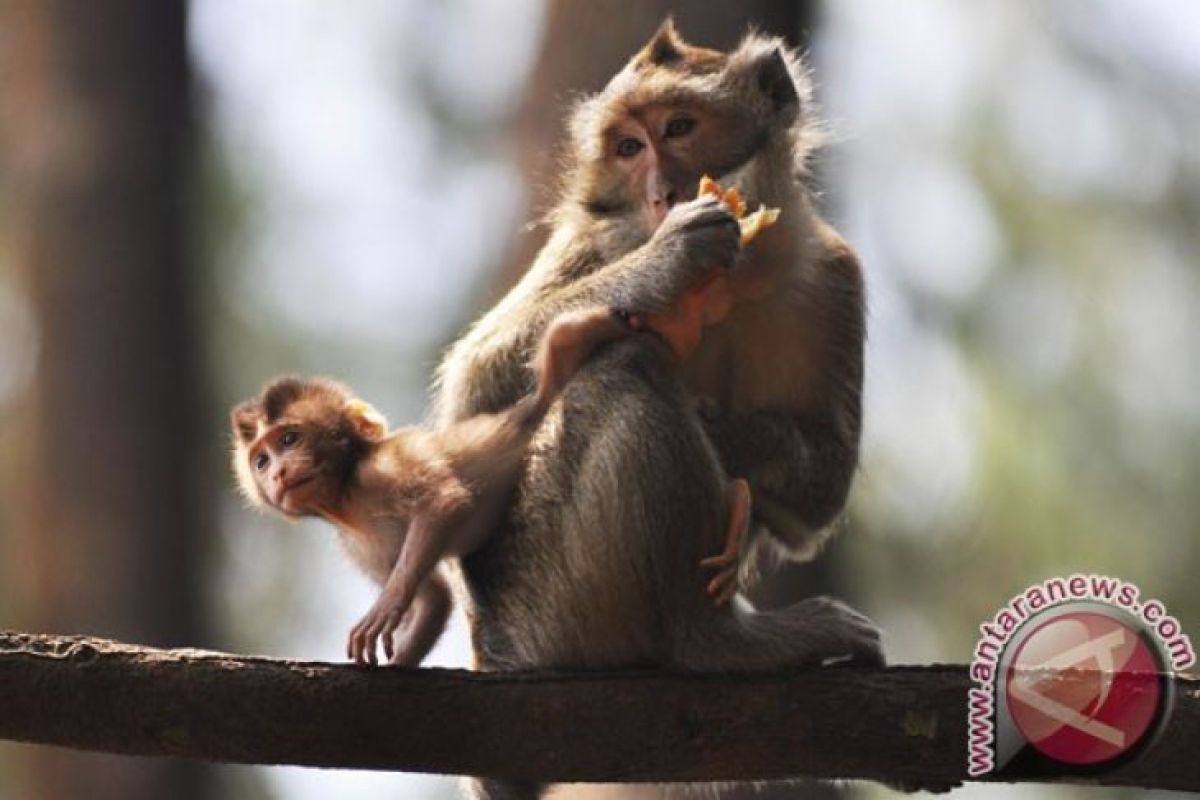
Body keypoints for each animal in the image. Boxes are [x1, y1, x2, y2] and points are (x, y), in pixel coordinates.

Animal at [231, 304, 748, 662]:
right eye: (261, 460)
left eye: (290, 438)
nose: (277, 473)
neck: (347, 497)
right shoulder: (360, 546)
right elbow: (433, 598)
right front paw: (400, 657)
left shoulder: (386, 469)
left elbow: (444, 501)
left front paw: (388, 604)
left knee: (564, 348)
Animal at [436, 20, 878, 800]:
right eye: (627, 147)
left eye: (679, 128)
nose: (659, 192)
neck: (734, 282)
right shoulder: (597, 240)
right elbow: (471, 395)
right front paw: (667, 260)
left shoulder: (833, 276)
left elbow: (817, 495)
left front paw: (726, 430)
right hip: (547, 609)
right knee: (623, 369)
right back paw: (719, 644)